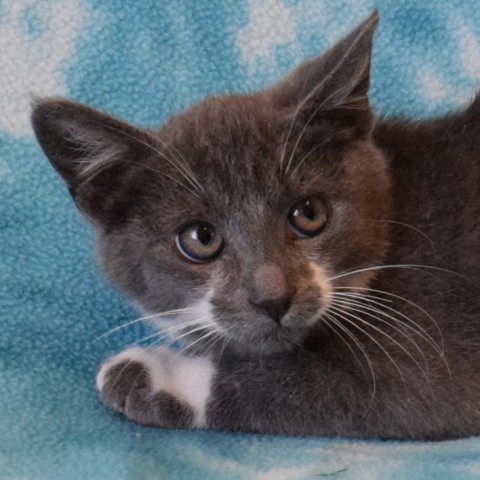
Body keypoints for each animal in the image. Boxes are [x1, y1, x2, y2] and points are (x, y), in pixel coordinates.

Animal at [31, 12, 480, 438]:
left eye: (309, 213)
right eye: (201, 238)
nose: (273, 298)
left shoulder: (429, 349)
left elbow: (308, 387)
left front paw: (156, 375)